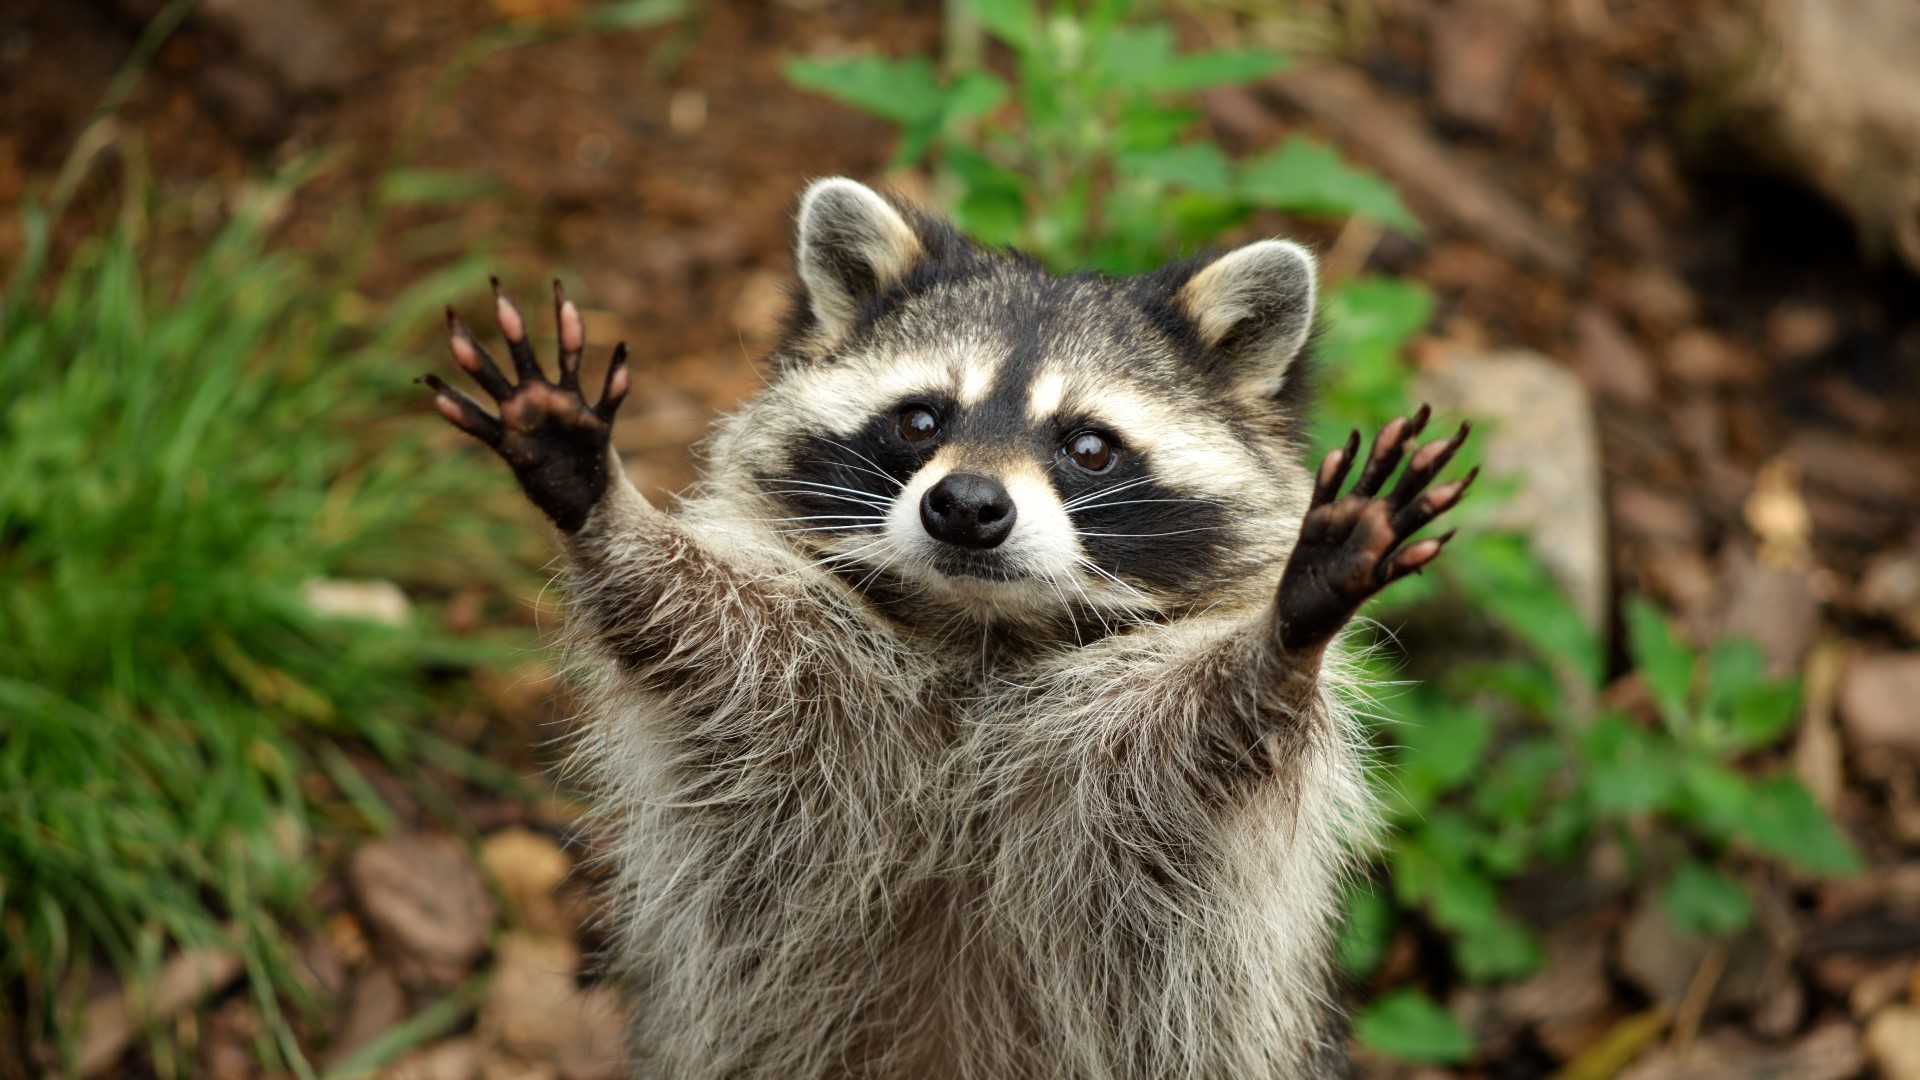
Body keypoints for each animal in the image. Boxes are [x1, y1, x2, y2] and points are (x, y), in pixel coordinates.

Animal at [424, 178, 1473, 1080]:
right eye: (921, 421)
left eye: (1088, 446)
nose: (966, 506)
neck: (982, 632)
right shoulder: (799, 681)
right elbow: (692, 623)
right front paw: (601, 505)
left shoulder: (1140, 780)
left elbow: (1216, 730)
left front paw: (1291, 630)